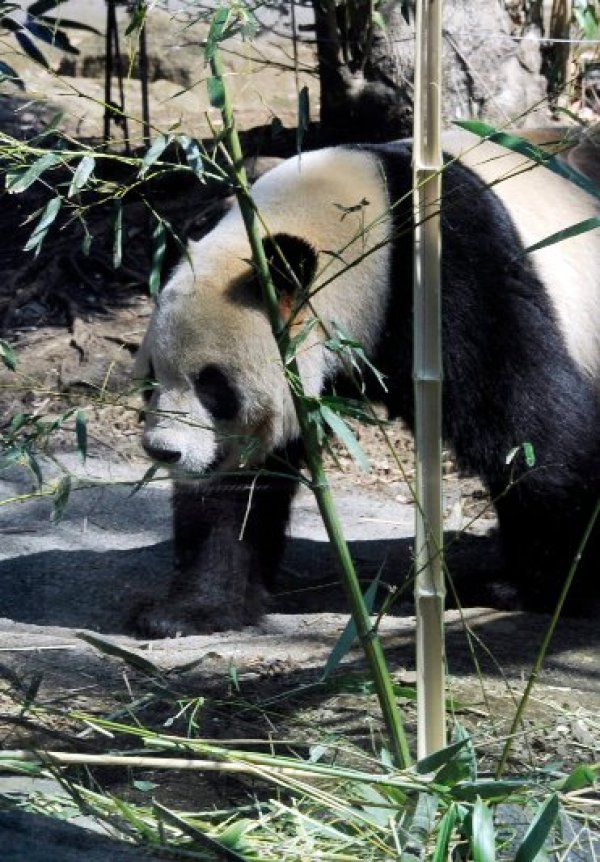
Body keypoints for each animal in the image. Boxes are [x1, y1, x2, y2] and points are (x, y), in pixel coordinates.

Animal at [136, 130, 600, 640]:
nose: (164, 451)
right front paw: (190, 610)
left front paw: (550, 590)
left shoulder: (453, 275)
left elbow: (530, 433)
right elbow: (241, 486)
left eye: (213, 386)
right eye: (152, 377)